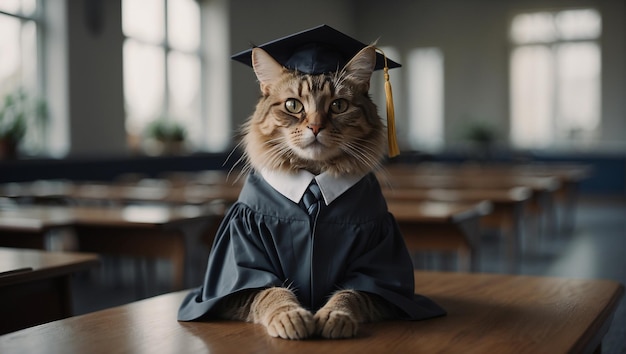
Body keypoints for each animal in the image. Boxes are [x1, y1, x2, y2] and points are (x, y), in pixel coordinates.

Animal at [214, 45, 390, 338]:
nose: (316, 127)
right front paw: (291, 317)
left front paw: (334, 316)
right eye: (293, 105)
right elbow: (273, 293)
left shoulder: (376, 262)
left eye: (338, 105)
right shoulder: (241, 265)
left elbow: (350, 295)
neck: (314, 179)